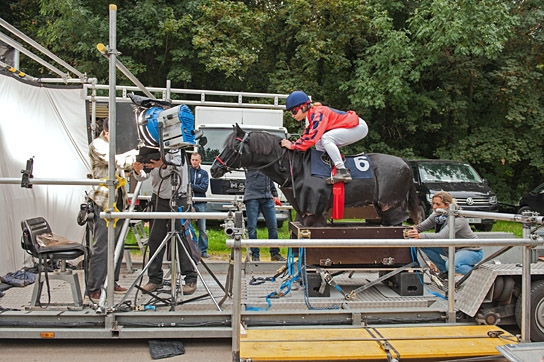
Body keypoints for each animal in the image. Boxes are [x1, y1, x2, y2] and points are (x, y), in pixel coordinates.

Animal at [209, 124, 420, 226]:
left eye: (232, 146)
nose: (214, 168)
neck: (297, 167)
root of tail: (405, 163)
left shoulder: (315, 213)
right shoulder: (302, 213)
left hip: (392, 208)